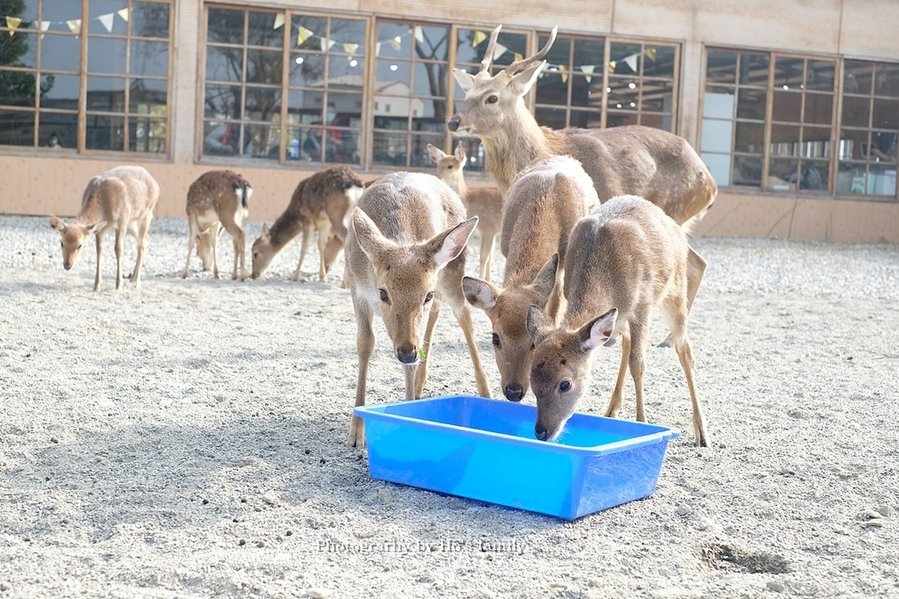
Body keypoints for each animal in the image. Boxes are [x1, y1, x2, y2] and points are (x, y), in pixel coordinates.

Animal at [348, 171, 496, 448]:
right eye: (383, 293)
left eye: (425, 294)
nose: (407, 352)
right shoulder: (356, 288)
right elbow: (365, 344)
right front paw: (356, 432)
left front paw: (406, 415)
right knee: (436, 317)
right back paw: (418, 386)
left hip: (454, 274)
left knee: (465, 319)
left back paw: (486, 392)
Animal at [426, 143, 502, 282]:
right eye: (437, 164)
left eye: (450, 166)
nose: (437, 177)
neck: (470, 201)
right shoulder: (492, 231)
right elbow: (490, 257)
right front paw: (488, 280)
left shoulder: (488, 228)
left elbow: (483, 257)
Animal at [450, 25, 716, 346]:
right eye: (467, 92)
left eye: (492, 98)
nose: (453, 121)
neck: (545, 148)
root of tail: (710, 183)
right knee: (698, 262)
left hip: (674, 212)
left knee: (692, 265)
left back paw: (666, 338)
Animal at [528, 195, 712, 448]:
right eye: (532, 381)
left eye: (565, 383)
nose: (542, 432)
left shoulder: (643, 305)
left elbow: (639, 363)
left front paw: (643, 422)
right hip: (623, 317)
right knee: (626, 344)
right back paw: (612, 408)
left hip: (675, 291)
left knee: (685, 350)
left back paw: (702, 434)